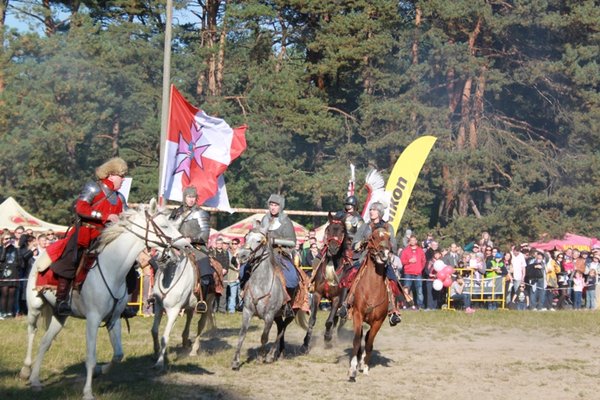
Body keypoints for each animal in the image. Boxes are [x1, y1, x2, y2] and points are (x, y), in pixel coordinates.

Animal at [19, 200, 186, 400]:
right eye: (164, 225)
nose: (186, 245)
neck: (112, 268)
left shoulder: (113, 319)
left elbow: (118, 354)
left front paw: (101, 370)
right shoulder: (93, 319)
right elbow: (91, 358)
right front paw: (88, 392)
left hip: (60, 316)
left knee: (45, 342)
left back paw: (36, 380)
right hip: (35, 307)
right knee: (32, 332)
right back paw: (26, 371)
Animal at [300, 214, 346, 352]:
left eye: (342, 231)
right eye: (328, 229)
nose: (333, 248)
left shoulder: (337, 299)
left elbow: (329, 321)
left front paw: (327, 338)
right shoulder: (317, 295)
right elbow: (312, 319)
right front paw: (305, 344)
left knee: (337, 318)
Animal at [344, 228, 392, 382]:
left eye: (389, 238)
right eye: (373, 237)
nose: (384, 253)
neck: (372, 289)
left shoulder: (378, 321)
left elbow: (369, 342)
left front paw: (364, 367)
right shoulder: (357, 315)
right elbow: (356, 340)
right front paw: (352, 370)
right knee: (359, 338)